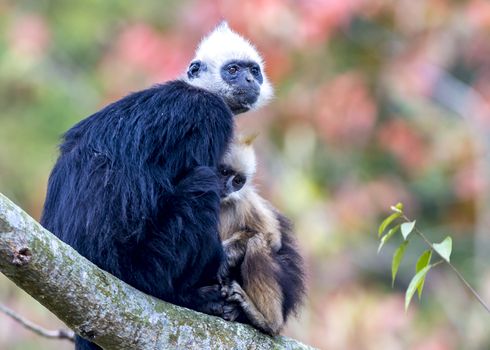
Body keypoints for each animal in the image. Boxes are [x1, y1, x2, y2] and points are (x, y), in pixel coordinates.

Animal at [217, 135, 304, 334]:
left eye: (238, 181)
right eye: (224, 172)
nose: (227, 187)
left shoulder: (245, 201)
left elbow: (272, 238)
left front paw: (227, 254)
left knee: (257, 242)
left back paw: (267, 321)